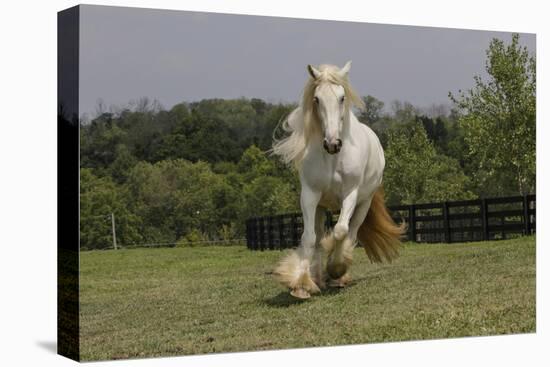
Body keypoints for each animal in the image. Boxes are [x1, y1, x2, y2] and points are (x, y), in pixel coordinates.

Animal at [272, 61, 406, 300]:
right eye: (317, 99)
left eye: (342, 97)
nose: (332, 143)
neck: (333, 159)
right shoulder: (310, 195)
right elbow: (309, 237)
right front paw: (301, 284)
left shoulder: (350, 194)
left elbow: (340, 231)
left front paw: (335, 270)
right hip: (321, 206)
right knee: (317, 238)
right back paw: (317, 278)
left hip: (363, 204)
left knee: (351, 234)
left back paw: (338, 276)